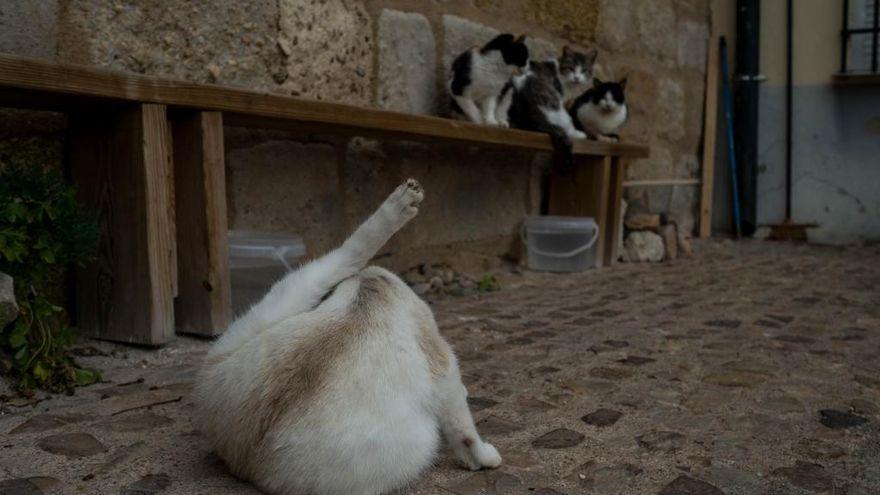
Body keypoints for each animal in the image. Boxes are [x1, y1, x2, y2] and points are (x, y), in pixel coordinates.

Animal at [193, 180, 502, 495]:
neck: (372, 287)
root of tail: (242, 458)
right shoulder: (443, 360)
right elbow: (463, 426)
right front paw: (485, 458)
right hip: (410, 448)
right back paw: (404, 202)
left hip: (271, 308)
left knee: (341, 258)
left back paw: (401, 202)